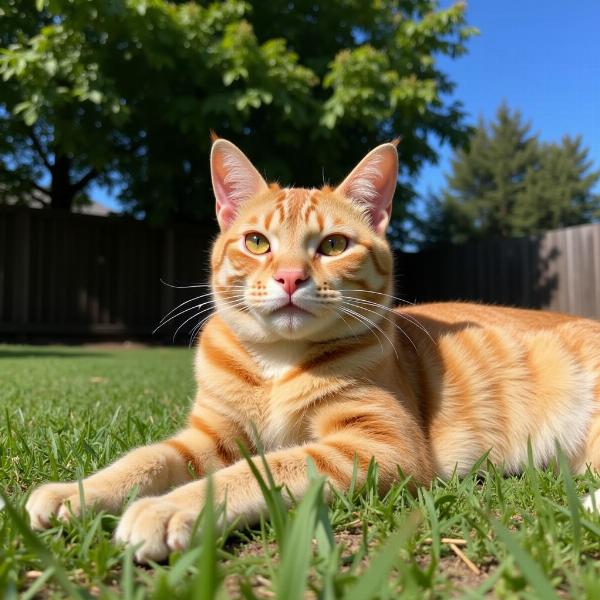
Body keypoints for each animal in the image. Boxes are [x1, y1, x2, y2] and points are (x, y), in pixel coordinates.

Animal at [25, 138, 600, 560]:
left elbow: (257, 470)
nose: (289, 277)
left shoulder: (378, 445)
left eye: (334, 245)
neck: (277, 363)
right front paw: (75, 493)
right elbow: (145, 459)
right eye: (258, 242)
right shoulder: (211, 436)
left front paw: (167, 509)